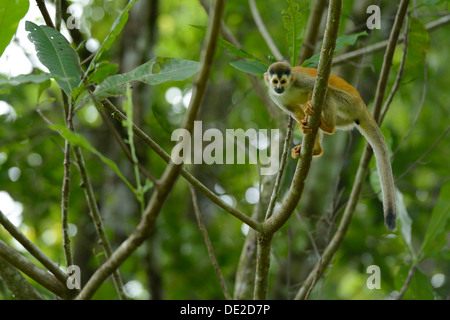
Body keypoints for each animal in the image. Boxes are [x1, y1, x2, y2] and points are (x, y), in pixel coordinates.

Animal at [266, 61, 396, 229]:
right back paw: (316, 148)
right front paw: (302, 124)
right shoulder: (276, 98)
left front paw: (308, 106)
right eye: (275, 81)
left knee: (329, 93)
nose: (278, 88)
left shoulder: (301, 81)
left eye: (283, 81)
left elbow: (319, 87)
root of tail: (362, 105)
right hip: (346, 119)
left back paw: (328, 127)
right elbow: (294, 111)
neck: (288, 89)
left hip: (350, 103)